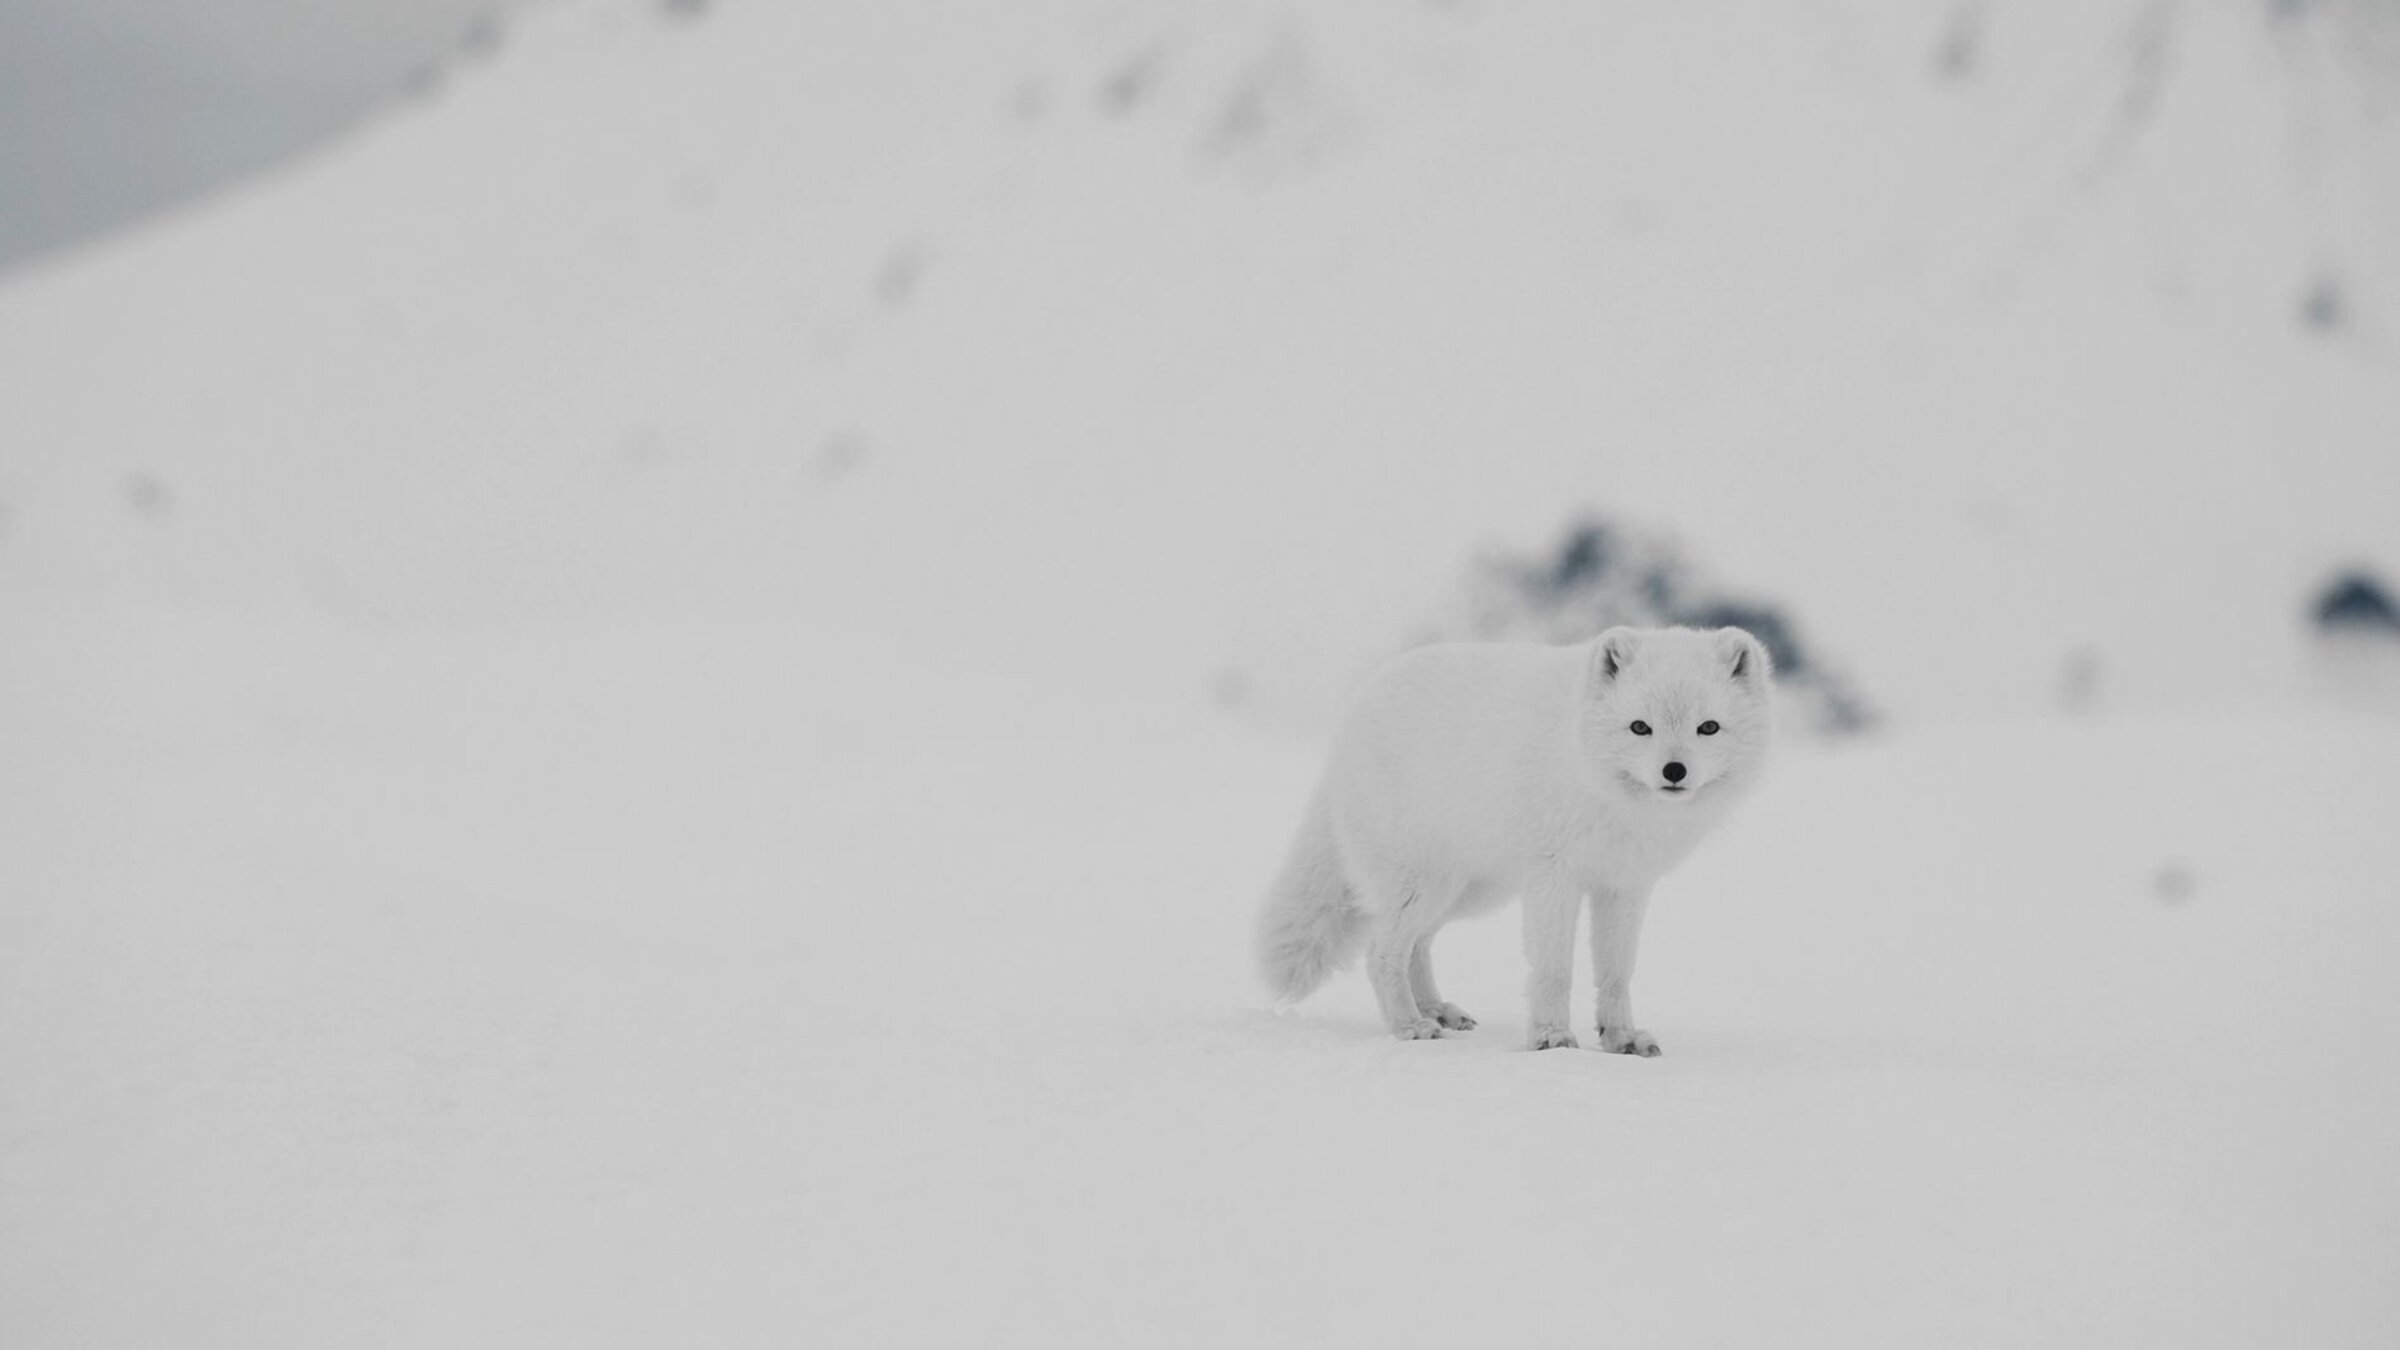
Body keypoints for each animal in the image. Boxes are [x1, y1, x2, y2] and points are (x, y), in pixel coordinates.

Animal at [1257, 626, 1772, 1051]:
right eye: (1640, 727)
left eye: (1708, 728)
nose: (1674, 771)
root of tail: (1349, 721)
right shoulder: (1555, 878)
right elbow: (1554, 970)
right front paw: (1552, 1039)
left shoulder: (1625, 885)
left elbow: (1615, 972)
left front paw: (1621, 1038)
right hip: (1421, 886)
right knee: (1381, 954)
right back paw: (1409, 1025)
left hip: (1470, 893)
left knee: (1418, 947)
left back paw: (1436, 1010)